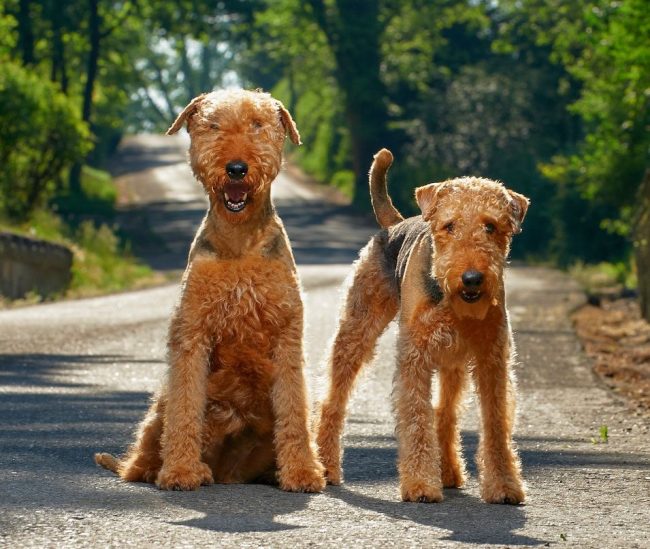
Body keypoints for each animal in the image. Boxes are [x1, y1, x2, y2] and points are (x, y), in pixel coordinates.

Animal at [95, 90, 324, 492]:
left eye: (258, 125)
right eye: (213, 125)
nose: (236, 168)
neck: (239, 243)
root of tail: (224, 471)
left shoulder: (287, 336)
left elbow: (294, 413)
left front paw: (302, 473)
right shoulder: (192, 332)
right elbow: (186, 409)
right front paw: (180, 472)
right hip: (161, 406)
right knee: (144, 454)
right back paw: (175, 469)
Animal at [316, 148, 528, 504]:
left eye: (491, 226)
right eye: (449, 226)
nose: (471, 278)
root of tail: (396, 222)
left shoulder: (492, 359)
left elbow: (495, 423)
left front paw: (504, 486)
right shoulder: (415, 355)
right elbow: (416, 418)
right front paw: (420, 485)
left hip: (453, 360)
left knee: (445, 413)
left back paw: (449, 472)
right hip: (358, 328)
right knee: (333, 399)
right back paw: (326, 466)